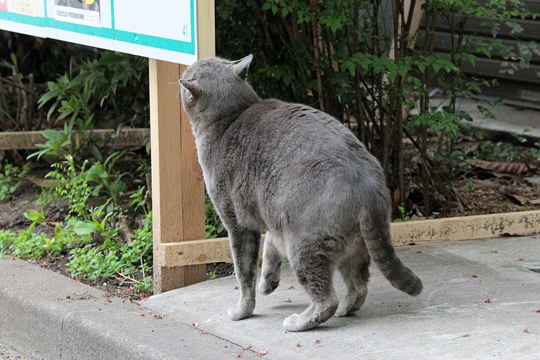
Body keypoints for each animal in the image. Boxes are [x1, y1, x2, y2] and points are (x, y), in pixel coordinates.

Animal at [179, 54, 424, 332]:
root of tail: (370, 189)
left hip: (303, 245)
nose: (186, 69)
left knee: (327, 299)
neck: (231, 117)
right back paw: (346, 309)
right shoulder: (273, 216)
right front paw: (267, 284)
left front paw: (241, 310)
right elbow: (270, 248)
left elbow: (244, 272)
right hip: (351, 246)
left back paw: (298, 322)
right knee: (359, 287)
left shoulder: (238, 223)